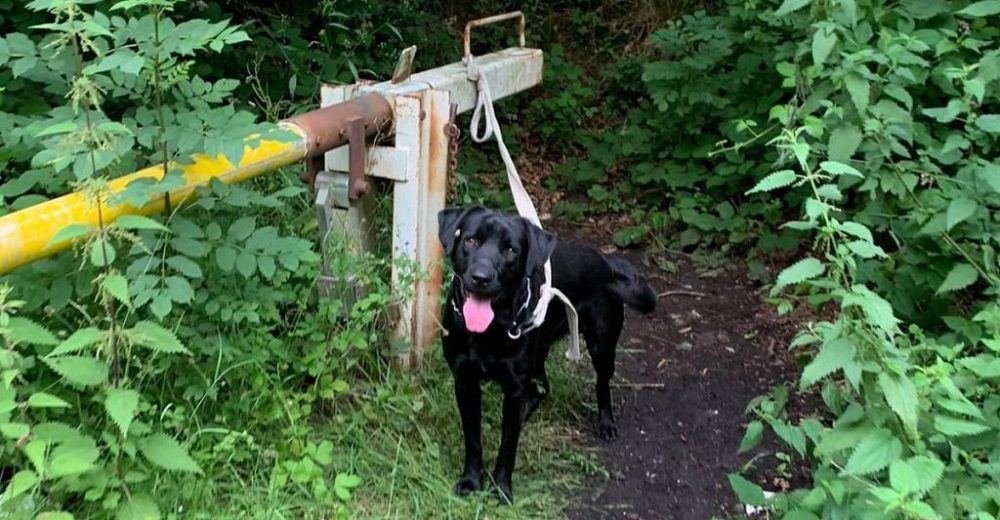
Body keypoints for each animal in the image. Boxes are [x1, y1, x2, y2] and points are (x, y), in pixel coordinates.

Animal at [436, 205, 656, 502]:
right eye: (471, 241)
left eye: (511, 250)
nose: (481, 278)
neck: (491, 329)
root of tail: (605, 262)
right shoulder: (465, 382)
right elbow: (473, 439)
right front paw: (471, 481)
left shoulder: (514, 388)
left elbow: (508, 445)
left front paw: (502, 488)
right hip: (540, 351)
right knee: (542, 386)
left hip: (602, 344)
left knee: (601, 383)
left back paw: (606, 423)